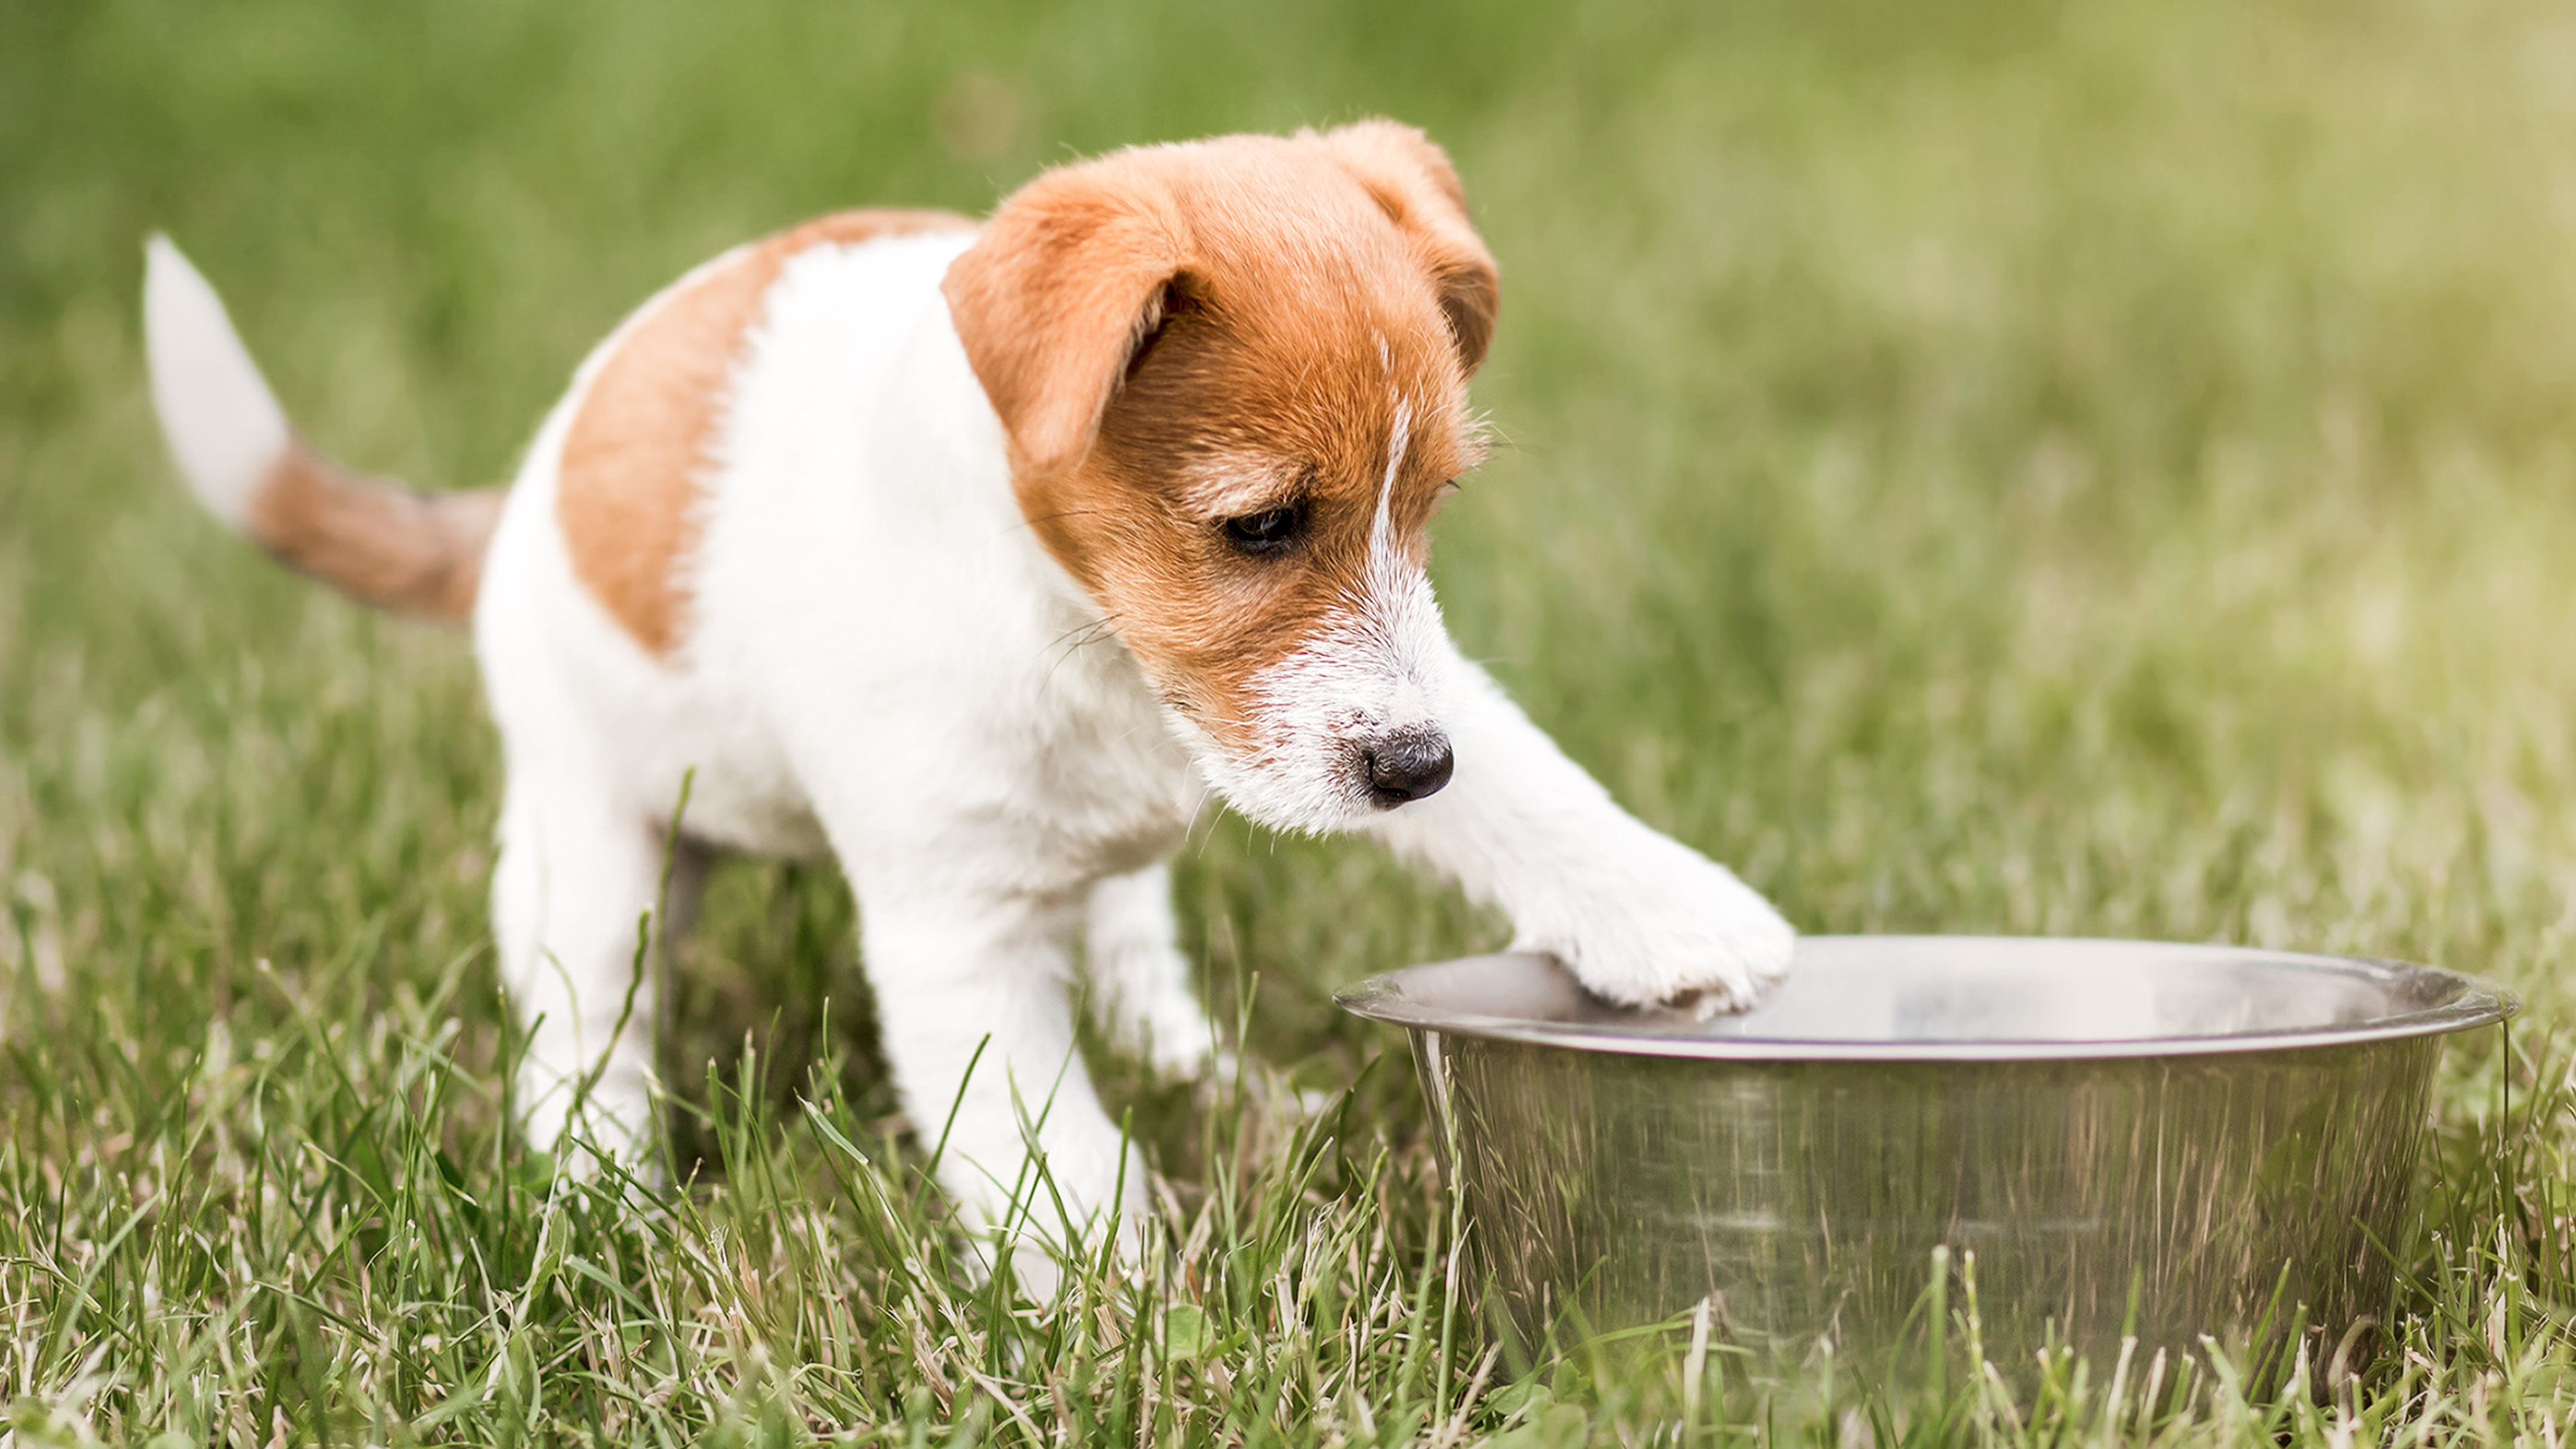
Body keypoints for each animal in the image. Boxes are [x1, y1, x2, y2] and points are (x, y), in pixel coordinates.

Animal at [141, 121, 1792, 1273]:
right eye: (1261, 526)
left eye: (1433, 501)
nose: (1409, 773)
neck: (1090, 644)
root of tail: (517, 499)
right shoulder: (956, 931)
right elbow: (1045, 1147)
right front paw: (1132, 1314)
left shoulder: (1373, 703)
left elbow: (1524, 782)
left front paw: (1672, 917)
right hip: (586, 845)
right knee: (584, 1029)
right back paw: (606, 1205)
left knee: (1130, 950)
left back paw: (1210, 1073)